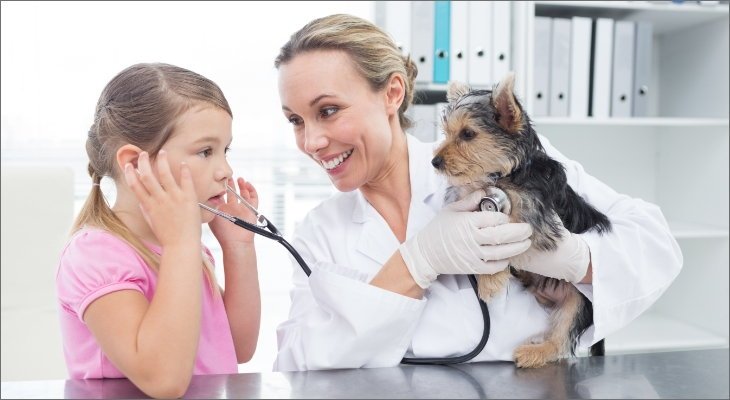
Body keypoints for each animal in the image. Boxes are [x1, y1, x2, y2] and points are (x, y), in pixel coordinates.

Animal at [430, 72, 612, 368]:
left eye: (468, 134)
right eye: (447, 133)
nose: (435, 161)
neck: (505, 173)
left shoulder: (534, 220)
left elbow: (506, 238)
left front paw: (490, 281)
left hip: (580, 301)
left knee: (563, 335)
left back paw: (535, 352)